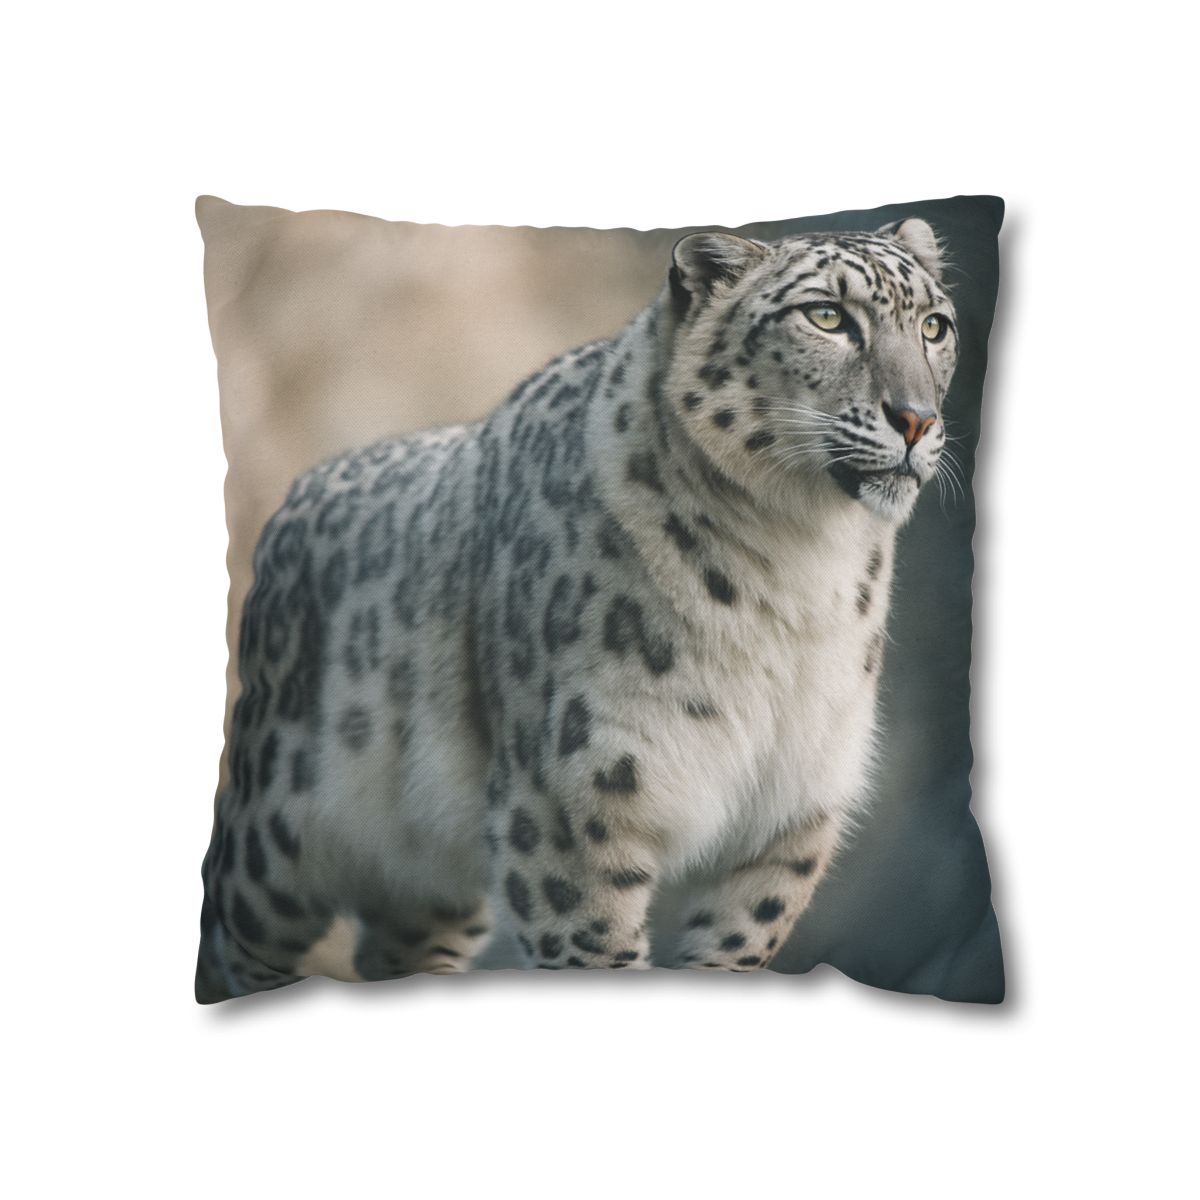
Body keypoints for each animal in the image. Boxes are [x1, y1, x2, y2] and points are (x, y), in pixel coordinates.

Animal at [196, 217, 959, 1001]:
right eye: (827, 316)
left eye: (935, 326)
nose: (916, 419)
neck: (802, 565)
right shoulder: (573, 807)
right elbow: (596, 949)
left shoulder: (787, 816)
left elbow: (732, 948)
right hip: (274, 838)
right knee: (231, 933)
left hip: (430, 878)